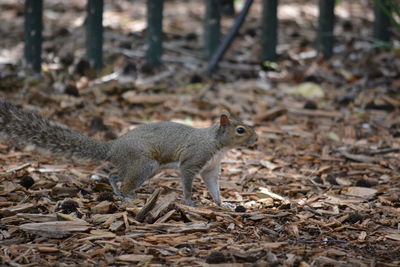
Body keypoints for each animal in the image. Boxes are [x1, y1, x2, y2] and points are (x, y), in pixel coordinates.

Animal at [0, 100, 258, 207]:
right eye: (240, 130)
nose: (256, 139)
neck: (217, 144)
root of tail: (113, 146)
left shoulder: (211, 169)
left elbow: (214, 187)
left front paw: (223, 204)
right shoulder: (193, 160)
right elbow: (187, 181)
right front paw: (189, 201)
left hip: (140, 167)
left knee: (113, 175)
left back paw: (119, 191)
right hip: (144, 164)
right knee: (123, 180)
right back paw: (127, 196)